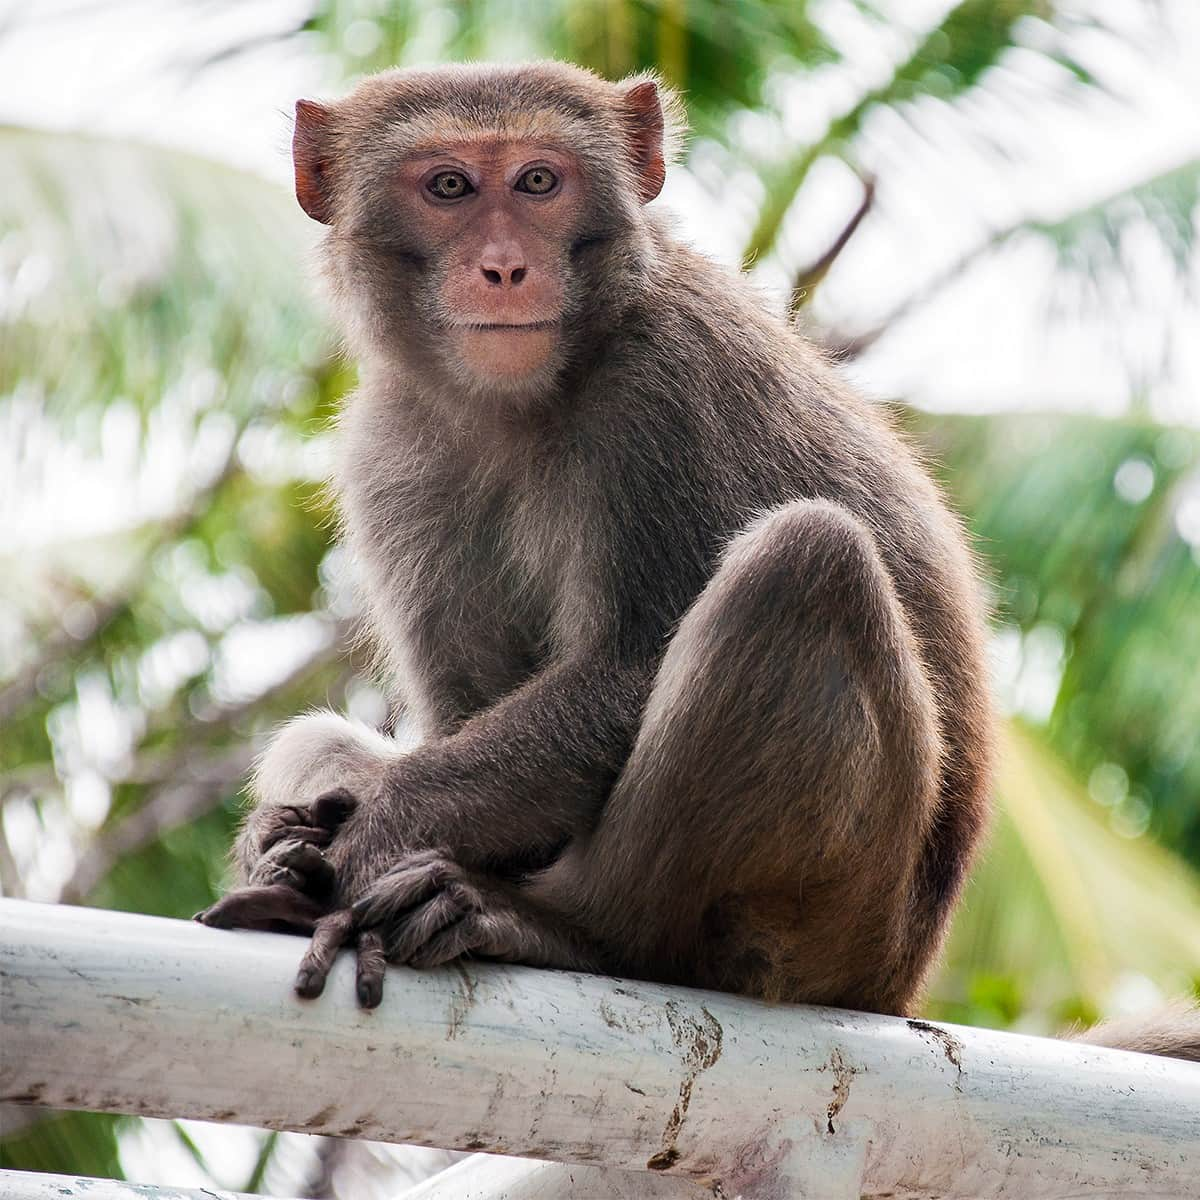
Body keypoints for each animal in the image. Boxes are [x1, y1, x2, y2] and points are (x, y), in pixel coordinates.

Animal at [196, 58, 998, 1022]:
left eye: (540, 182)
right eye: (448, 188)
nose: (505, 267)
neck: (519, 398)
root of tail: (901, 978)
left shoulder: (664, 383)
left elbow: (628, 665)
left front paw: (353, 852)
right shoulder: (387, 450)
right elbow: (460, 708)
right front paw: (288, 836)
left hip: (845, 921)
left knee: (807, 562)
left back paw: (571, 930)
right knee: (312, 744)